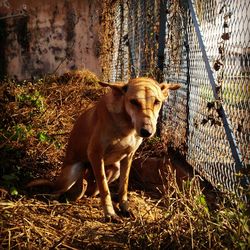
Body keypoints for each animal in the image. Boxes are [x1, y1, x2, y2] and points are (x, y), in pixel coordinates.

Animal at [27, 77, 180, 222]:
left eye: (157, 102)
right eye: (134, 102)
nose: (147, 131)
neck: (126, 123)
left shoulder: (128, 156)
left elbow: (123, 187)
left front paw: (124, 207)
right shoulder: (95, 154)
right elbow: (104, 187)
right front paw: (110, 213)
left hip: (115, 170)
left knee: (90, 192)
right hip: (73, 172)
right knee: (55, 191)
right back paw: (53, 200)